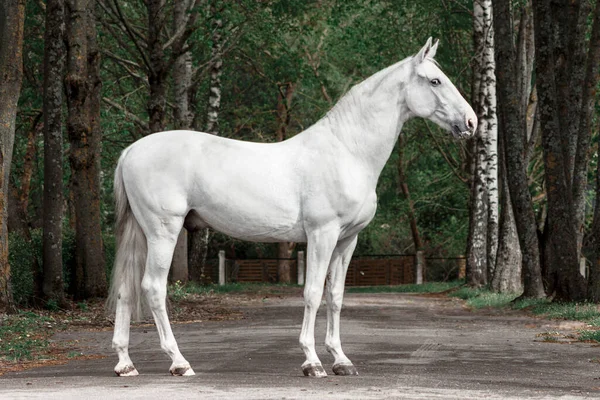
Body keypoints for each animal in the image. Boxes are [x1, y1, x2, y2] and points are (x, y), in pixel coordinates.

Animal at [105, 39, 476, 380]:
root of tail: (131, 151)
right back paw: (179, 362)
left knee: (125, 287)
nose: (471, 122)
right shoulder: (322, 235)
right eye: (435, 81)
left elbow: (335, 296)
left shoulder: (347, 241)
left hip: (142, 232)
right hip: (163, 231)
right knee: (153, 288)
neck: (347, 151)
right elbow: (312, 293)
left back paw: (125, 364)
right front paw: (312, 362)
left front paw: (341, 360)